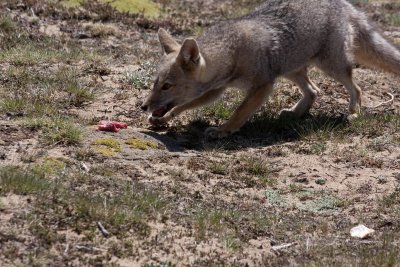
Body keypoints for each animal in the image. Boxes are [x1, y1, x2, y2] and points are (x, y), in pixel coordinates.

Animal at [140, 0, 396, 138]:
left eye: (167, 86)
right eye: (155, 84)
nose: (143, 106)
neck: (231, 51)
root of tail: (346, 5)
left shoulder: (263, 86)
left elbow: (240, 112)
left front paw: (224, 130)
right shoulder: (216, 89)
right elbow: (184, 105)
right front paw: (166, 118)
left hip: (331, 67)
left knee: (357, 88)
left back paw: (353, 112)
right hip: (291, 69)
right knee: (314, 90)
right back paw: (295, 113)